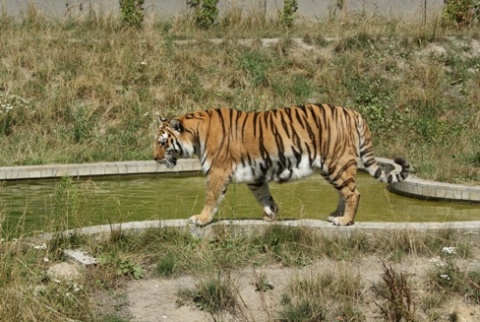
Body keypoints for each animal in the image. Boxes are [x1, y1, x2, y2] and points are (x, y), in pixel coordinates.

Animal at [154, 103, 408, 226]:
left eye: (162, 142)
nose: (155, 158)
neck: (196, 136)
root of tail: (353, 112)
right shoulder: (254, 175)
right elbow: (265, 198)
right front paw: (270, 217)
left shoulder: (218, 171)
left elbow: (211, 198)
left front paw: (201, 219)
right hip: (332, 167)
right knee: (345, 192)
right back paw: (336, 215)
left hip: (338, 162)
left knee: (353, 193)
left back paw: (344, 221)